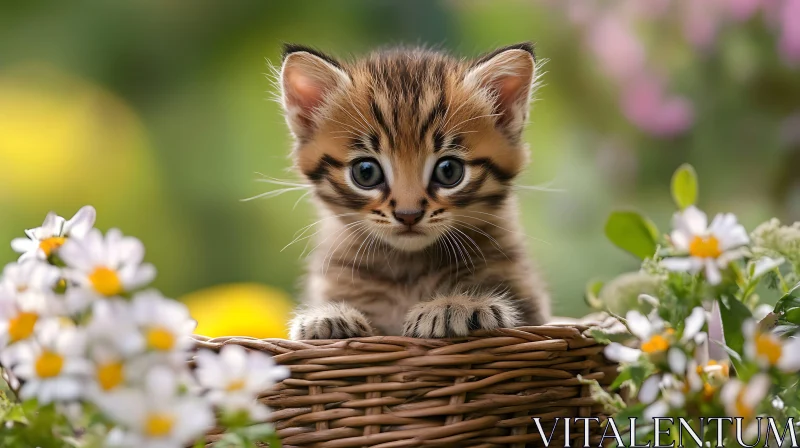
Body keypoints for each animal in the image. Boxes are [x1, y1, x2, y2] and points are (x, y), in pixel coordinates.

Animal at [276, 43, 552, 340]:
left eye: (449, 171)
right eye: (365, 172)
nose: (408, 214)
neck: (408, 267)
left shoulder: (531, 305)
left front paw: (458, 306)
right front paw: (329, 316)